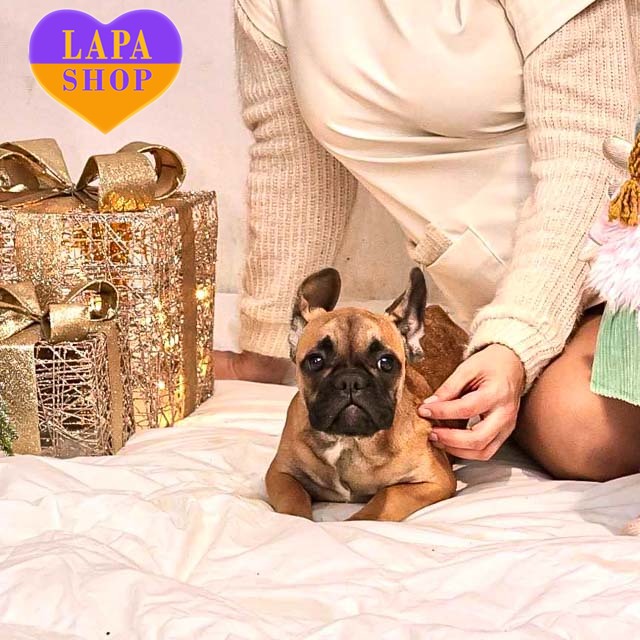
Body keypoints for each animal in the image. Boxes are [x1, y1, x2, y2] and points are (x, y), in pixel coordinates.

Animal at [266, 267, 468, 521]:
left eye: (386, 363)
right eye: (315, 361)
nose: (350, 381)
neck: (349, 441)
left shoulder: (434, 480)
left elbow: (388, 496)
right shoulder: (280, 474)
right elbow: (293, 500)